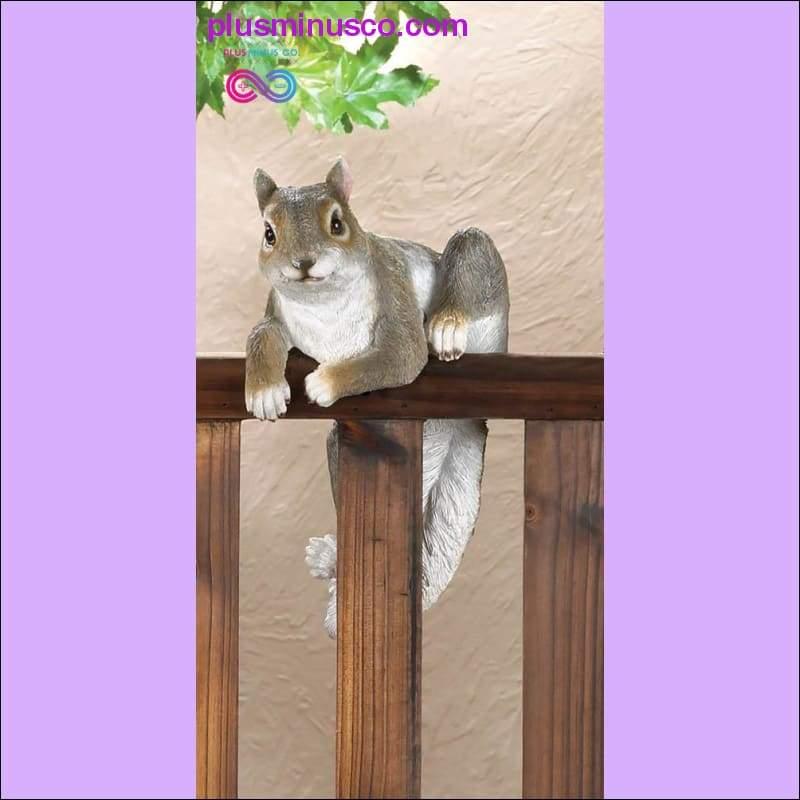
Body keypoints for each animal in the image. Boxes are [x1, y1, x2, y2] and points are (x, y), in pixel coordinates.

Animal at [245, 158, 509, 638]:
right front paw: (263, 392)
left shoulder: (393, 287)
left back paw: (447, 326)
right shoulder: (277, 315)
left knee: (470, 255)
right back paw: (330, 558)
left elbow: (397, 356)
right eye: (269, 233)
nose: (303, 263)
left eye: (338, 223)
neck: (324, 305)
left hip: (478, 280)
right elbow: (261, 336)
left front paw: (323, 384)